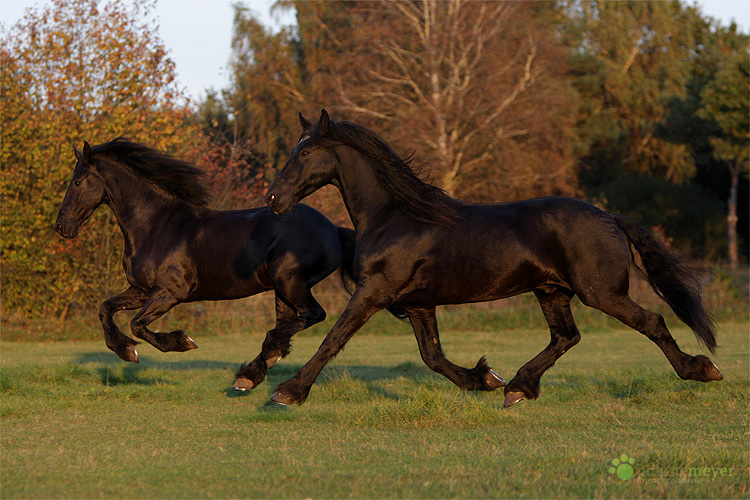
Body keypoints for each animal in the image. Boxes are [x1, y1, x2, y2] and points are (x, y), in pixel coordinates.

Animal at [55, 137, 356, 390]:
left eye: (77, 181)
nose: (61, 226)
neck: (155, 225)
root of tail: (334, 229)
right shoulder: (140, 291)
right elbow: (105, 309)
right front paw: (125, 350)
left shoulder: (170, 292)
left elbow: (137, 324)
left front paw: (179, 342)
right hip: (282, 290)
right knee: (290, 322)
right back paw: (254, 371)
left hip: (290, 282)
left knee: (313, 315)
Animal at [262, 109, 724, 406]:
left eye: (305, 153)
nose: (273, 199)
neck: (394, 216)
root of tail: (608, 216)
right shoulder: (418, 303)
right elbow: (432, 356)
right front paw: (483, 378)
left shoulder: (373, 292)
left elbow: (333, 338)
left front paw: (288, 392)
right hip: (551, 291)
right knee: (566, 337)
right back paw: (518, 387)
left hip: (601, 293)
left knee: (652, 321)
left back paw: (702, 370)